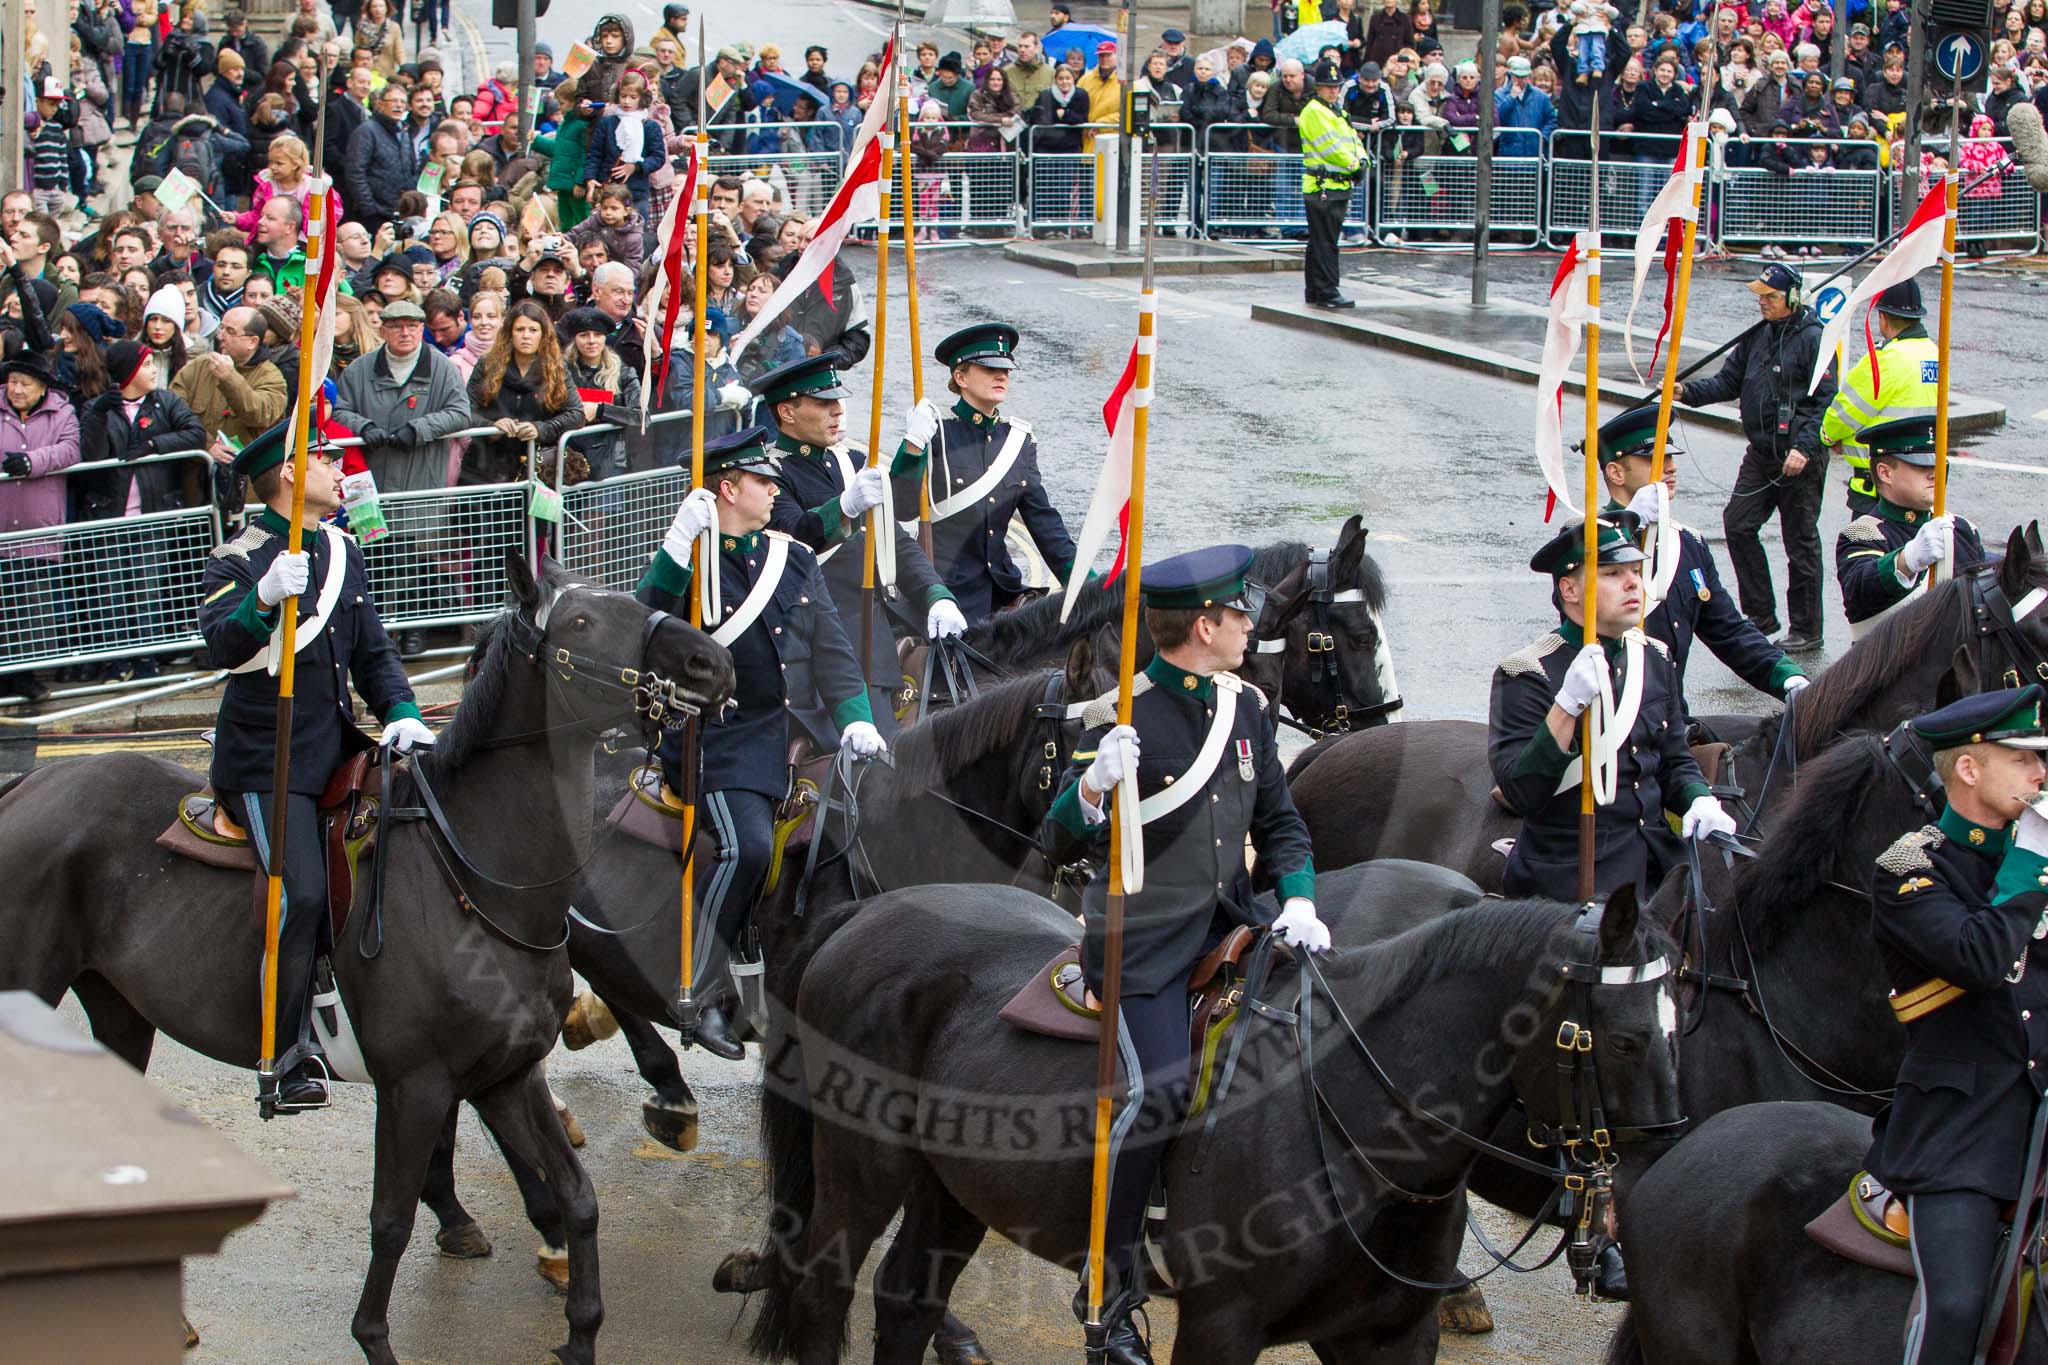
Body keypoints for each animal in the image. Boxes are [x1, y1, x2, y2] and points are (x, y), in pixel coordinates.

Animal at [0, 556, 733, 1365]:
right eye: (579, 622)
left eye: (629, 598)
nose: (711, 662)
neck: (477, 876)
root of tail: (32, 781)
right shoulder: (416, 1085)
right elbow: (390, 1220)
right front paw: (376, 1338)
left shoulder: (506, 1072)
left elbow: (577, 1194)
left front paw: (578, 1332)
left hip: (119, 1012)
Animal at [720, 871, 1679, 1358]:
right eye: (1628, 1038)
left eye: (1684, 1022)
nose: (1664, 1177)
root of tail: (863, 910)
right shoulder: (1223, 1326)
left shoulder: (1386, 1339)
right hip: (864, 1167)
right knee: (824, 1292)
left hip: (951, 1185)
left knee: (907, 1299)